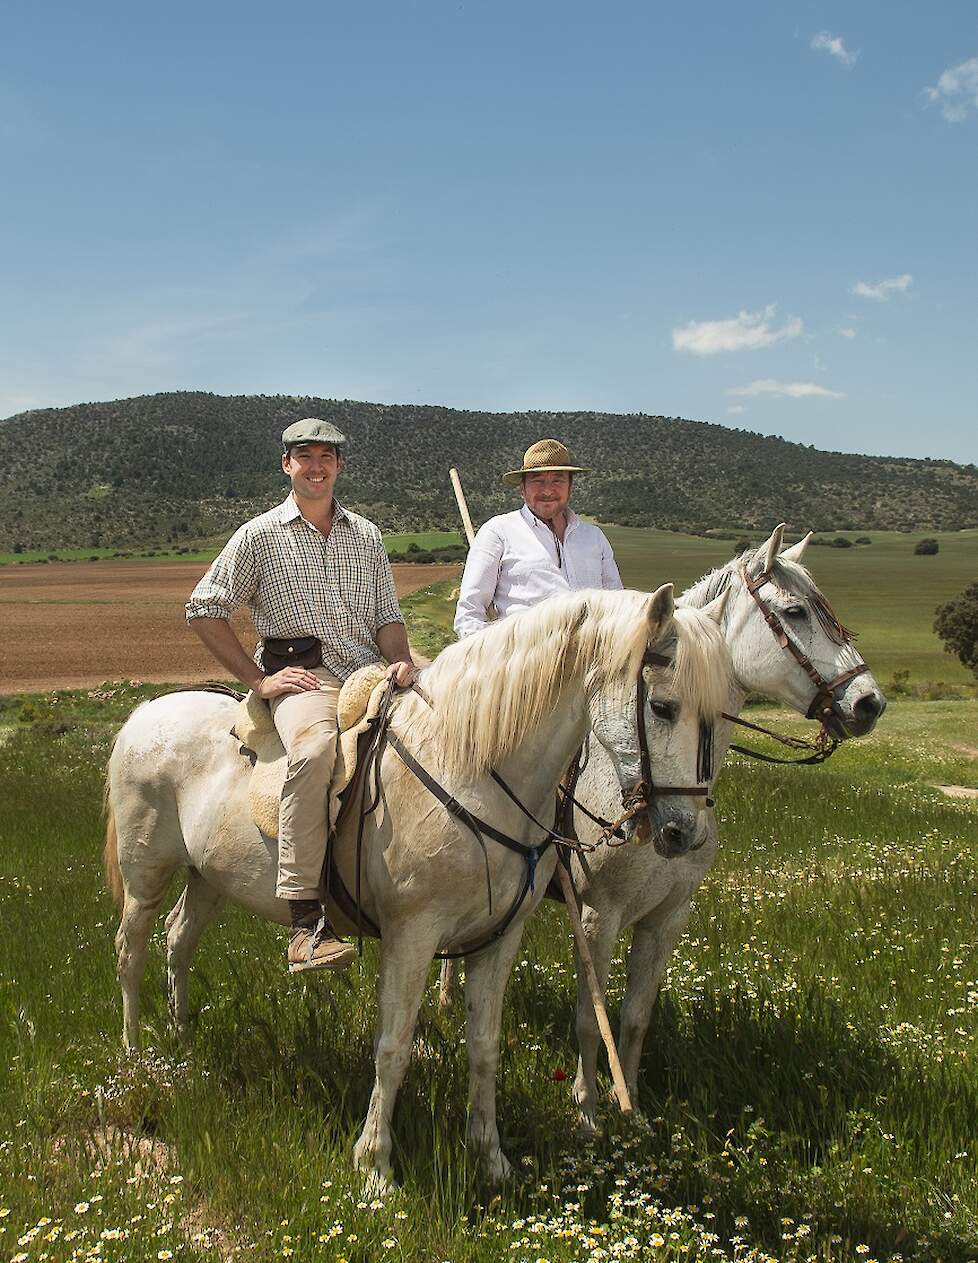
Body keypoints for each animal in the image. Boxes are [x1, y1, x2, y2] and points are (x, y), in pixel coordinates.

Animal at [107, 586, 737, 1187]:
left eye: (718, 717)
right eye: (661, 706)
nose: (683, 832)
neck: (473, 766)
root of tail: (145, 713)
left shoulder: (498, 939)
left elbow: (485, 1046)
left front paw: (490, 1157)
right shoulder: (412, 936)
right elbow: (393, 1048)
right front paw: (375, 1166)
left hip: (207, 877)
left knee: (179, 940)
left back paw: (184, 1041)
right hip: (146, 875)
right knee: (131, 952)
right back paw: (136, 1058)